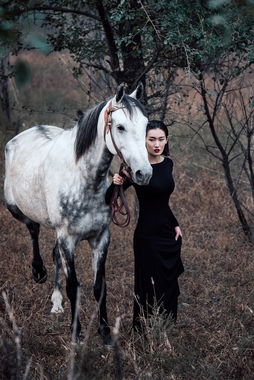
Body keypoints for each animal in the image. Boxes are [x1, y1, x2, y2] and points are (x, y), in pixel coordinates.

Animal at [3, 84, 152, 344]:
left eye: (145, 125)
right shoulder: (68, 238)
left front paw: (104, 331)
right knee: (33, 229)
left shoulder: (100, 238)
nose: (144, 173)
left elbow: (99, 286)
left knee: (55, 255)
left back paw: (56, 302)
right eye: (120, 127)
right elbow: (74, 286)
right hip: (17, 209)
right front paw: (76, 332)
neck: (84, 179)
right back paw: (38, 271)